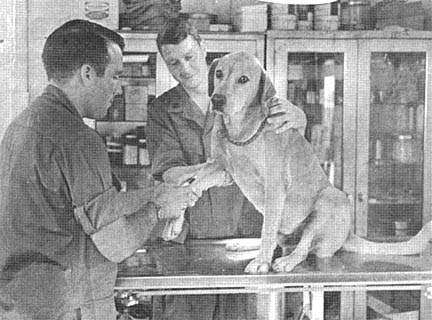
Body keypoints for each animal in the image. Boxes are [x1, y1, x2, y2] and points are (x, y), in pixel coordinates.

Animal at [193, 51, 432, 274]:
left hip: (329, 199)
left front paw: (262, 262)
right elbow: (201, 176)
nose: (217, 99)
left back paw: (286, 260)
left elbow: (268, 230)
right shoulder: (220, 166)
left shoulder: (275, 188)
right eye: (219, 73)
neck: (240, 129)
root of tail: (348, 234)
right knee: (277, 239)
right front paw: (189, 189)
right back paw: (246, 244)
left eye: (243, 79)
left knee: (303, 247)